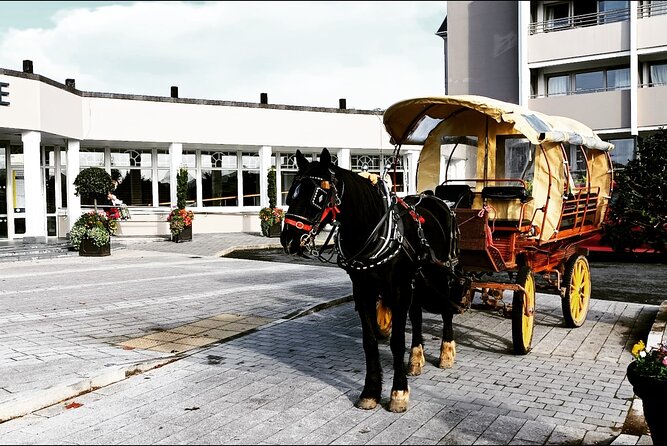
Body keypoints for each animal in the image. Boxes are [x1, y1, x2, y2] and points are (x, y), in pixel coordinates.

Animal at [282, 148, 470, 412]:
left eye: (319, 195)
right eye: (292, 191)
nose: (288, 239)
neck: (372, 230)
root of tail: (436, 200)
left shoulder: (399, 289)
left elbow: (397, 341)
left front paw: (398, 393)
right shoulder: (363, 291)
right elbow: (369, 342)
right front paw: (370, 392)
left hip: (443, 271)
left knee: (446, 309)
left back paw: (446, 352)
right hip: (417, 279)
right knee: (417, 314)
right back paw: (415, 359)